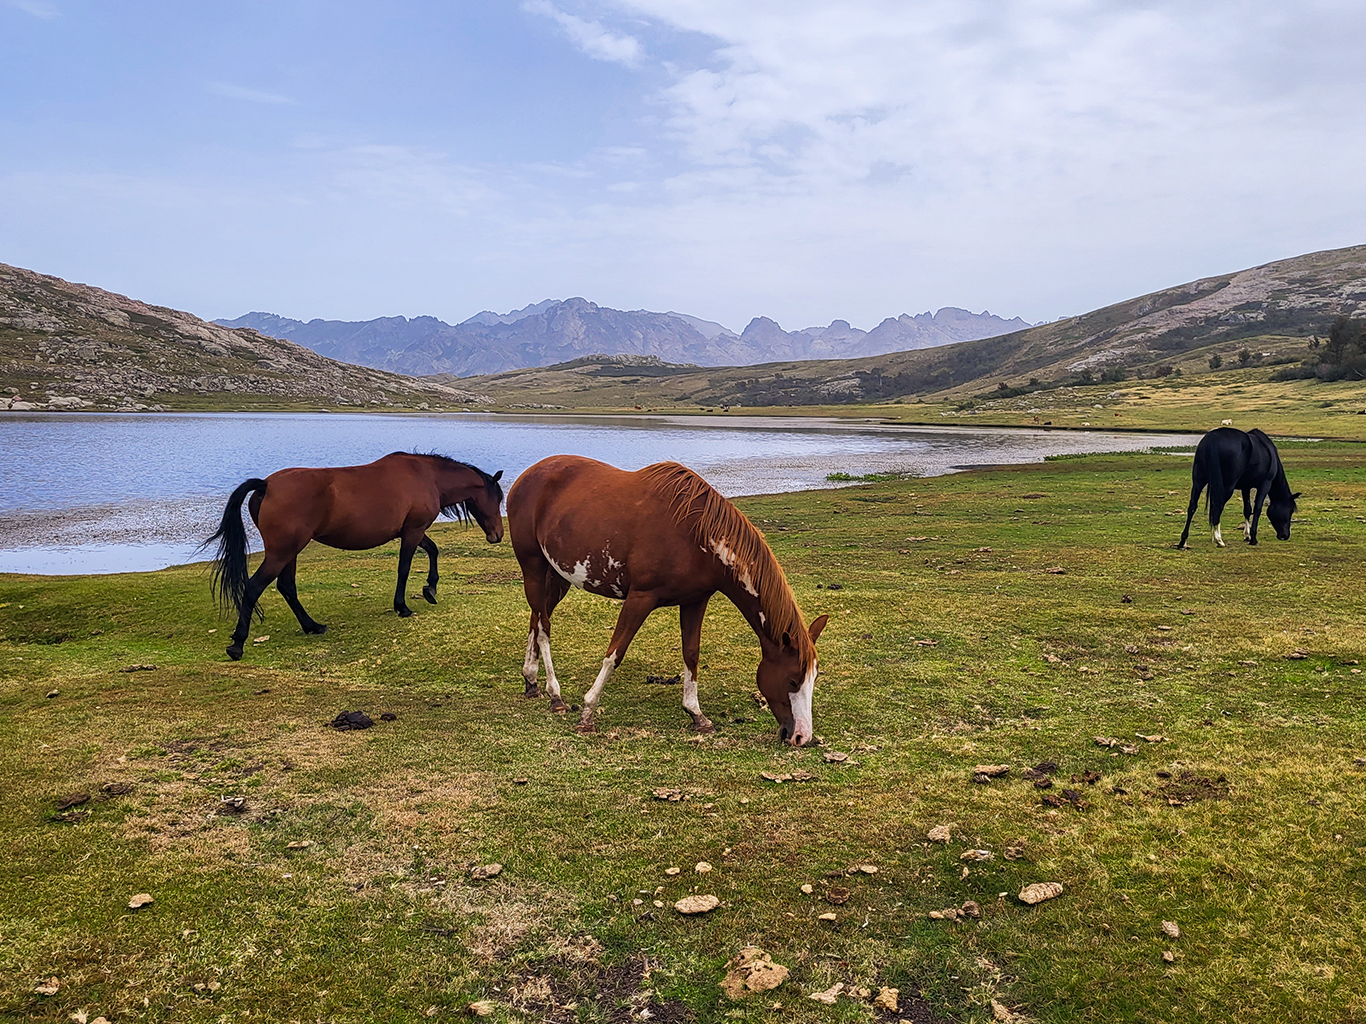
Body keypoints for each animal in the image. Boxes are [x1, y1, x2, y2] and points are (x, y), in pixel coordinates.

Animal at [210, 453, 510, 660]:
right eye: (496, 498)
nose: (497, 535)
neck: (427, 476)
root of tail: (266, 485)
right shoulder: (413, 532)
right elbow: (404, 568)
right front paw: (403, 606)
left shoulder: (412, 531)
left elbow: (433, 550)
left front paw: (431, 589)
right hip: (282, 551)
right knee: (253, 587)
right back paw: (237, 645)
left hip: (289, 552)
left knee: (286, 587)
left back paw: (312, 626)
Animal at [508, 456, 825, 748]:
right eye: (793, 680)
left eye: (814, 679)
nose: (801, 736)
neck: (696, 534)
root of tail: (528, 474)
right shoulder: (640, 597)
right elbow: (614, 653)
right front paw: (587, 713)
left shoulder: (695, 601)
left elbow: (691, 654)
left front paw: (697, 715)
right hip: (533, 567)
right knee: (544, 628)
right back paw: (555, 695)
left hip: (557, 577)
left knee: (537, 618)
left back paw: (531, 681)